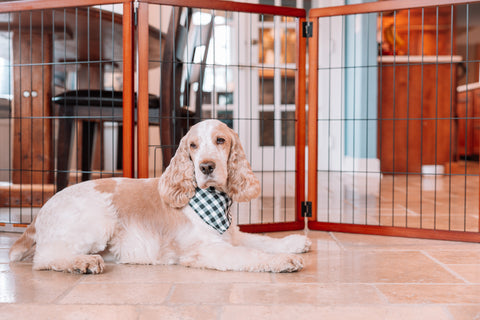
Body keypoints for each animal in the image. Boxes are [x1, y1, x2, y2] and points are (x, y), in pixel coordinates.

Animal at [11, 119, 314, 274]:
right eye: (192, 145)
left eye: (220, 140)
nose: (206, 167)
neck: (211, 201)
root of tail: (40, 214)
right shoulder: (206, 249)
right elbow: (250, 254)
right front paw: (284, 261)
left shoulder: (231, 235)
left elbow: (262, 240)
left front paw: (295, 242)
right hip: (97, 221)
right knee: (45, 257)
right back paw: (83, 263)